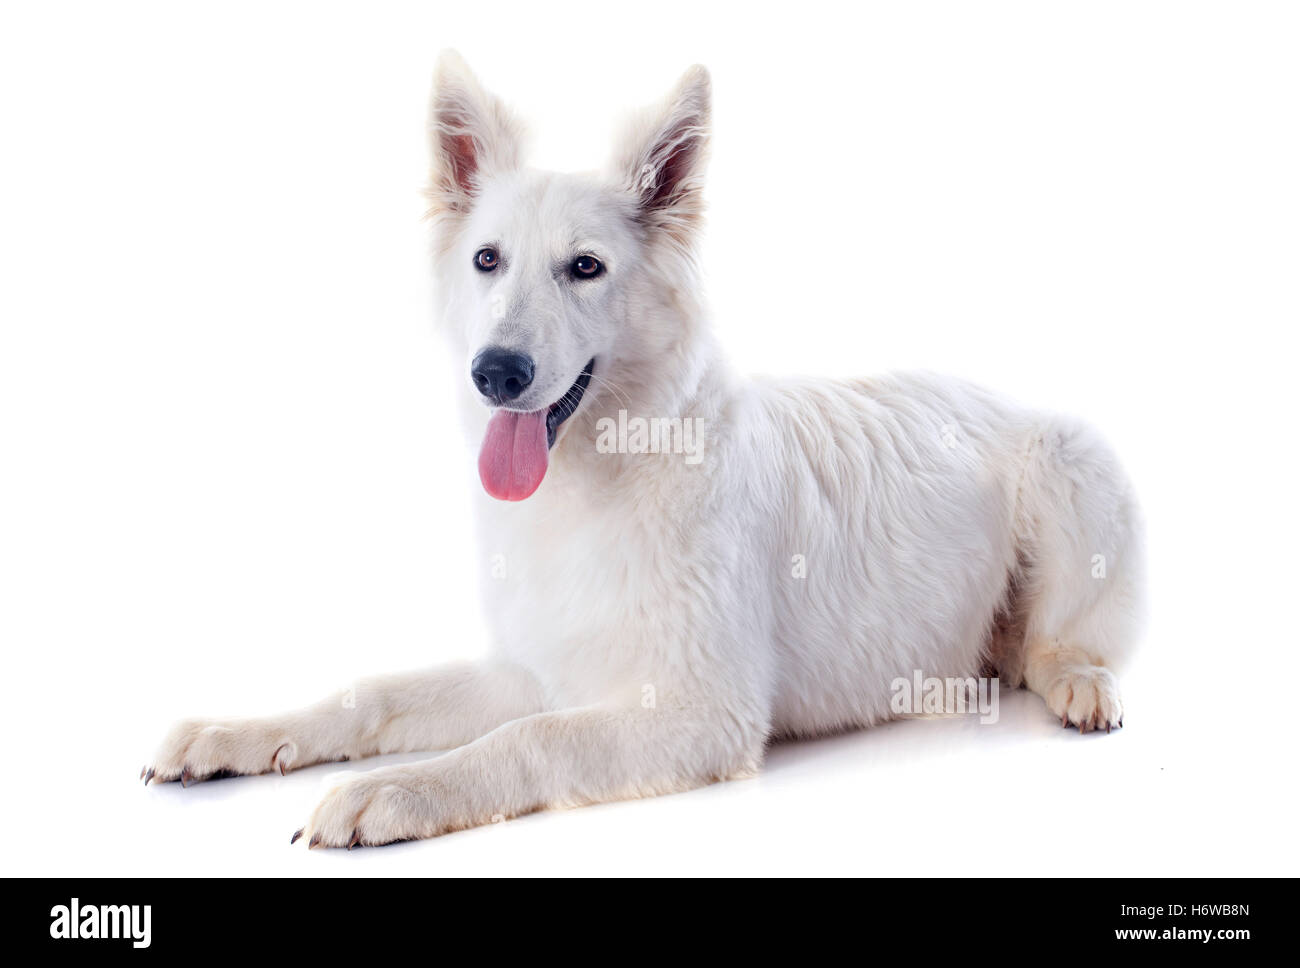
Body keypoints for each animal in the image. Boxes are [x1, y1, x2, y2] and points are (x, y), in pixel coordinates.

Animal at [144, 54, 1149, 847]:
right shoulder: (533, 670)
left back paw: (1077, 683)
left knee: (1057, 645)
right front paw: (237, 735)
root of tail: (990, 390)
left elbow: (526, 742)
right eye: (486, 260)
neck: (605, 477)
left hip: (1073, 459)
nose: (496, 373)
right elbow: (373, 694)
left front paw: (394, 790)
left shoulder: (701, 713)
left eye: (585, 268)